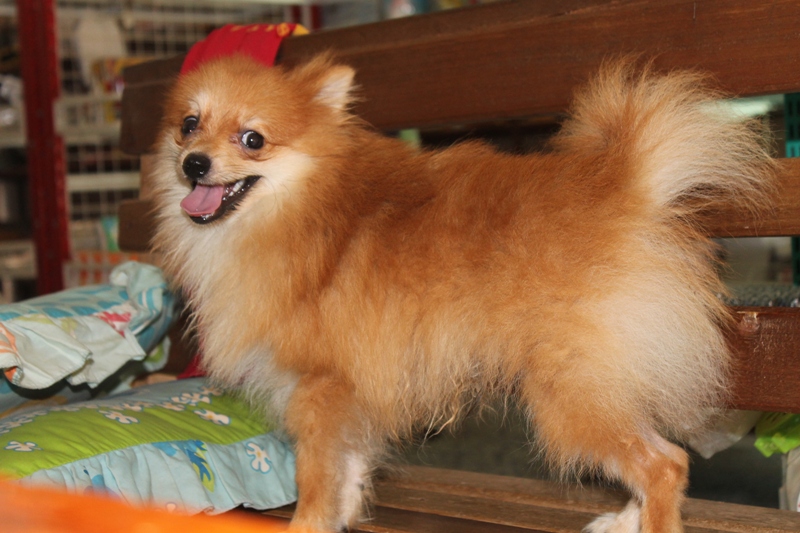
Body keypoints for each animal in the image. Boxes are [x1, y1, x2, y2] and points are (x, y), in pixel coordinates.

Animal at [152, 54, 774, 533]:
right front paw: (347, 516)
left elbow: (316, 478)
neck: (303, 206)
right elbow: (350, 470)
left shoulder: (319, 387)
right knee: (661, 458)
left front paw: (309, 523)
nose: (194, 163)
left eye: (252, 139)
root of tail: (626, 187)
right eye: (189, 125)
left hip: (570, 391)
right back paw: (623, 520)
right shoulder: (356, 389)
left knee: (665, 464)